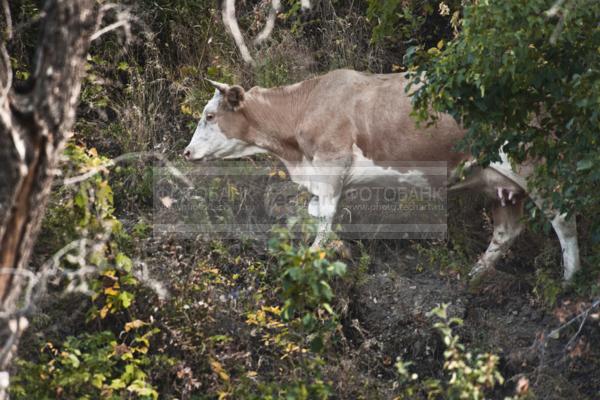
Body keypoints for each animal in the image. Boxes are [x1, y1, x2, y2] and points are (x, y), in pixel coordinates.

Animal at [184, 69, 580, 280]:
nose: (186, 152)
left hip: (533, 165)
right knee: (506, 230)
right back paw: (473, 276)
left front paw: (313, 257)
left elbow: (324, 218)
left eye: (209, 115)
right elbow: (317, 214)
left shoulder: (331, 162)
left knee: (564, 218)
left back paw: (570, 281)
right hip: (500, 185)